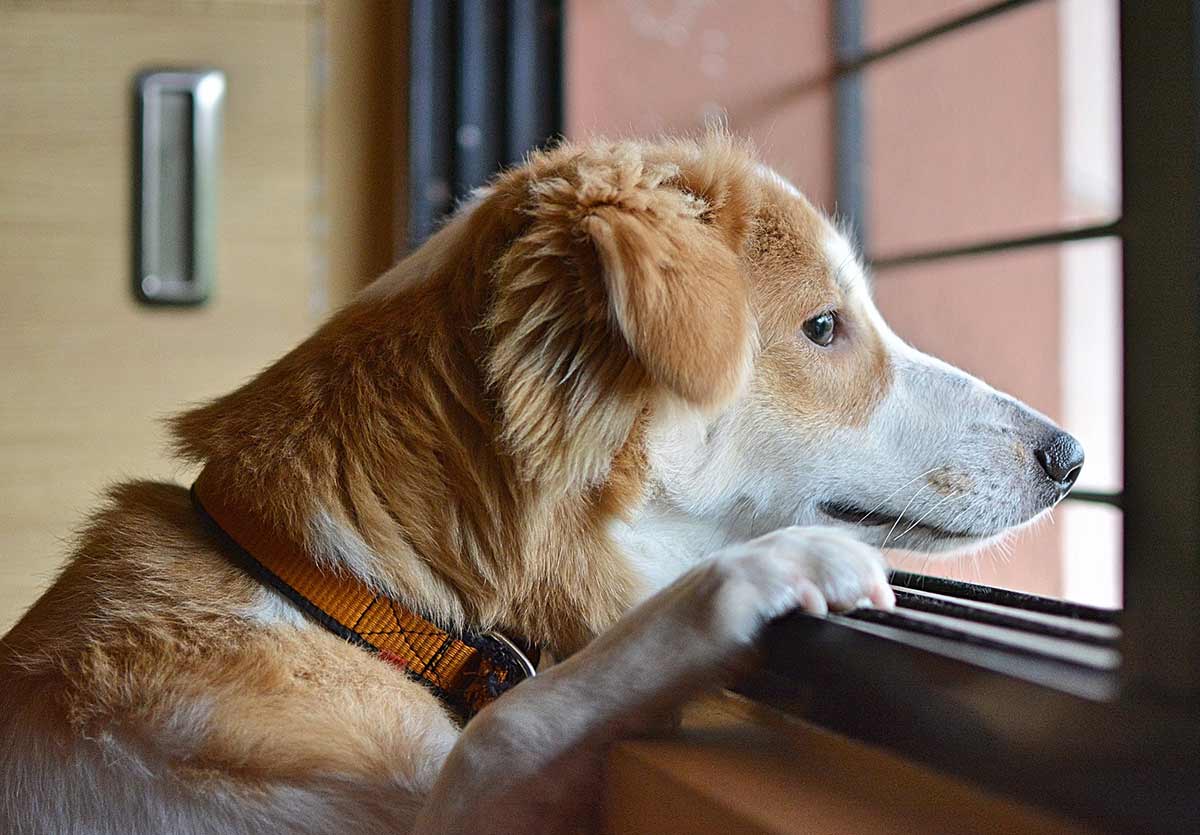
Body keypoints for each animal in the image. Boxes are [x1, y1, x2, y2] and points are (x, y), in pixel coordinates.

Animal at [0, 133, 1084, 830]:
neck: (344, 591)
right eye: (824, 326)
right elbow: (516, 724)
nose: (1070, 456)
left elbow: (511, 724)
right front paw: (752, 579)